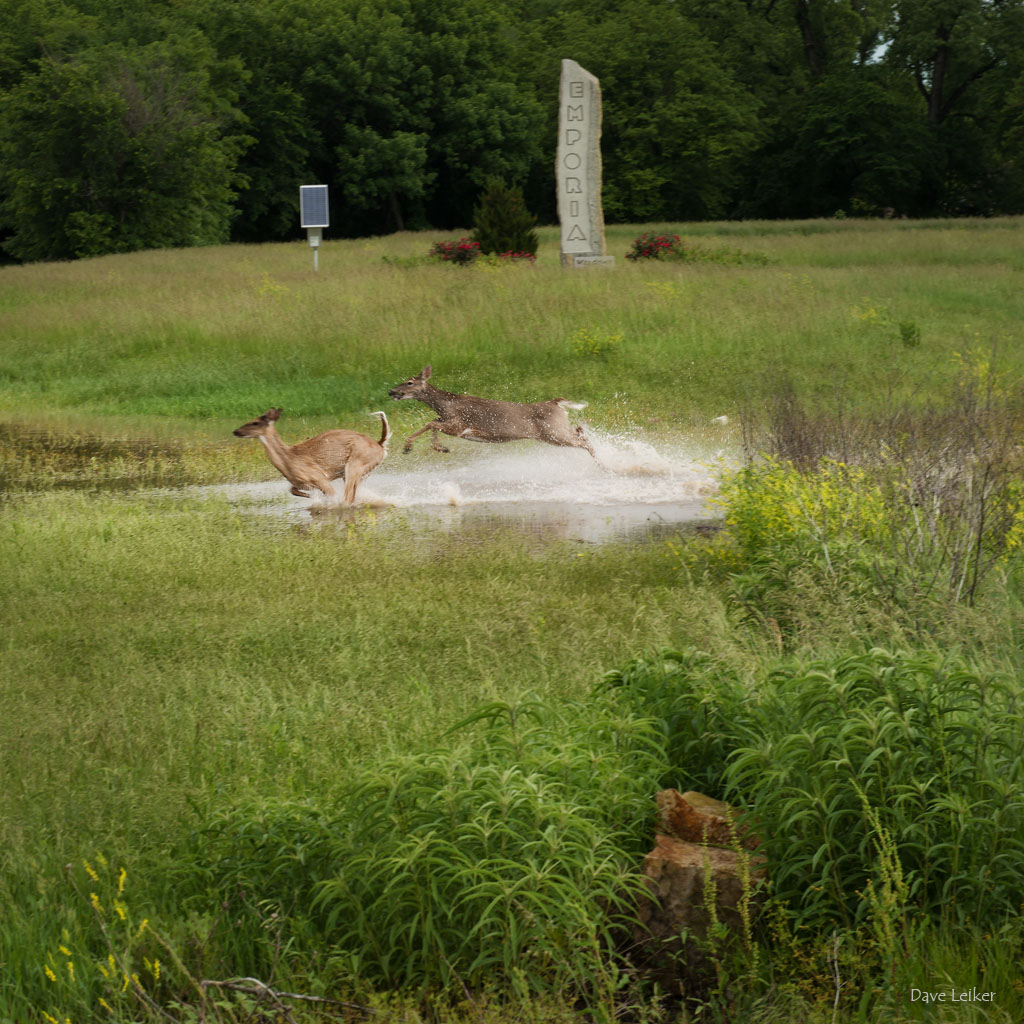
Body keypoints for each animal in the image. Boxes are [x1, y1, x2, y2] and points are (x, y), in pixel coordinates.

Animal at [234, 407, 389, 503]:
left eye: (255, 422)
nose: (236, 431)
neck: (288, 461)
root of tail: (380, 445)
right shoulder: (301, 483)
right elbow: (292, 490)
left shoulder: (320, 477)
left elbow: (334, 496)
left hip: (354, 466)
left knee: (348, 498)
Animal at [385, 362, 598, 454]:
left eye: (410, 382)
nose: (391, 391)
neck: (444, 406)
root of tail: (556, 402)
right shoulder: (448, 422)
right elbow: (432, 423)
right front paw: (440, 448)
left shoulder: (459, 426)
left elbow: (430, 423)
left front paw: (409, 447)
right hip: (557, 429)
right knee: (581, 431)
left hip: (553, 433)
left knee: (584, 441)